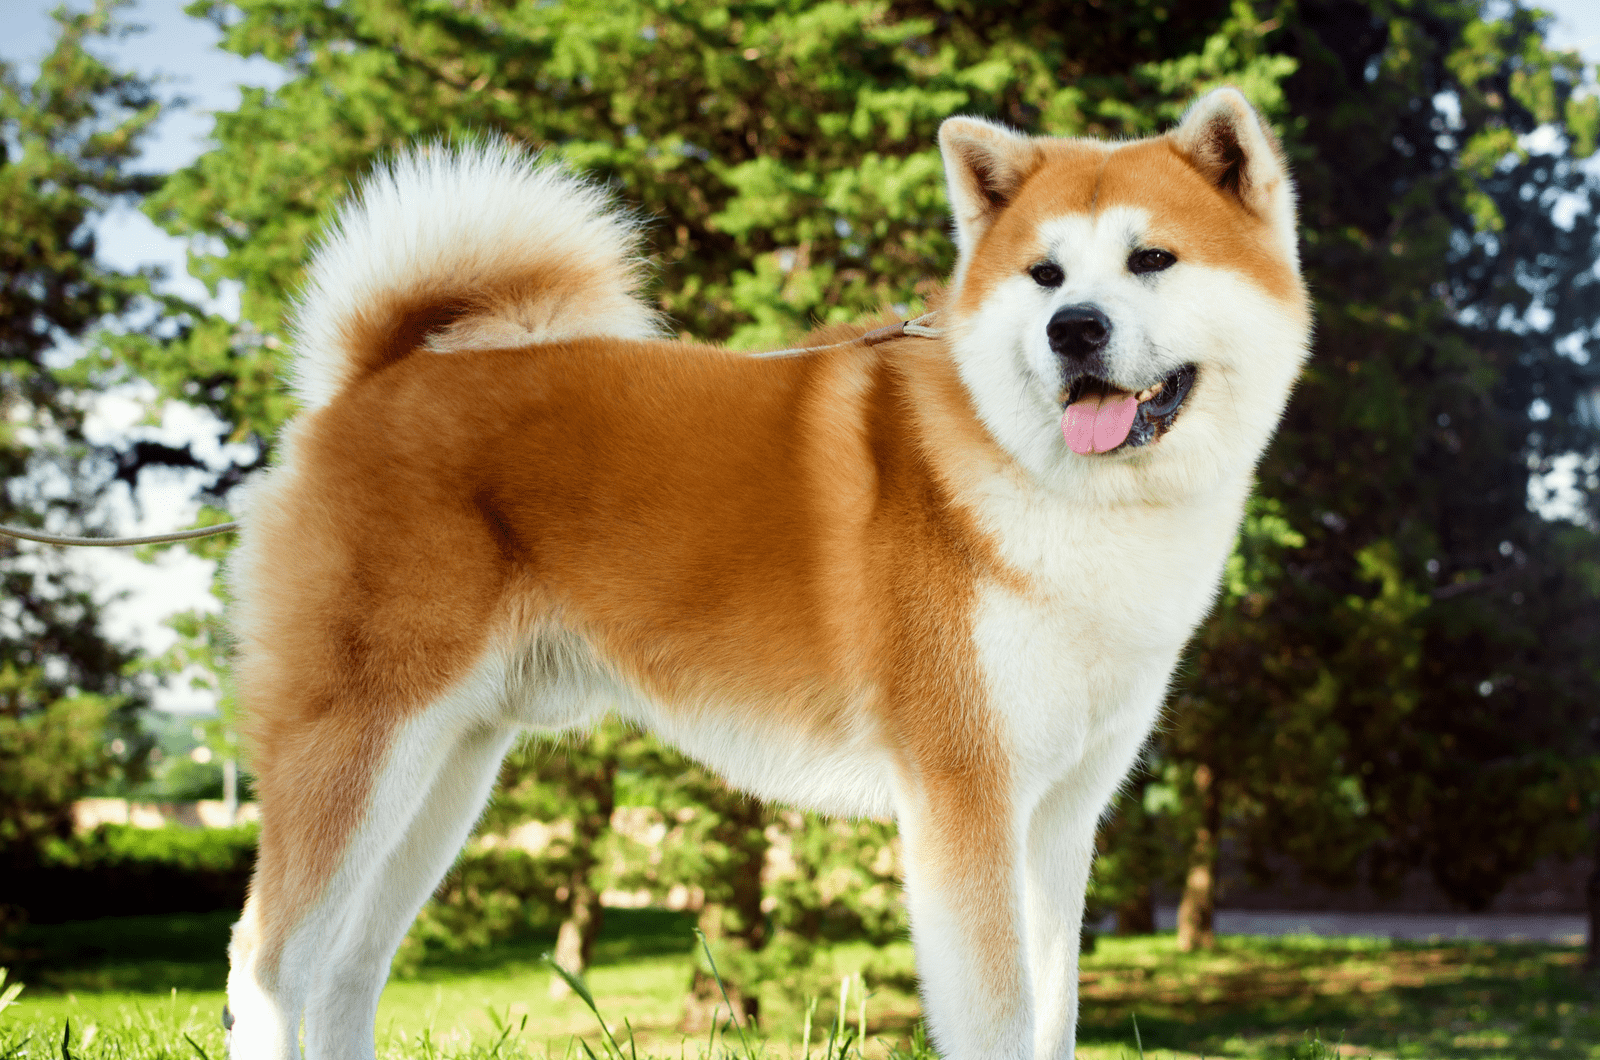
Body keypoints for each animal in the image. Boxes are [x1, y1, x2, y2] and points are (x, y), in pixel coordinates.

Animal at [225, 87, 1305, 1056]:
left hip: (446, 767)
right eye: (1044, 273)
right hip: (360, 744)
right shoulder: (966, 798)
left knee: (348, 965)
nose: (1073, 327)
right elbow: (999, 1020)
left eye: (1151, 258)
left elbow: (1053, 1017)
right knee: (268, 965)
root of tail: (374, 379)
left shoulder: (1060, 816)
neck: (1061, 493)